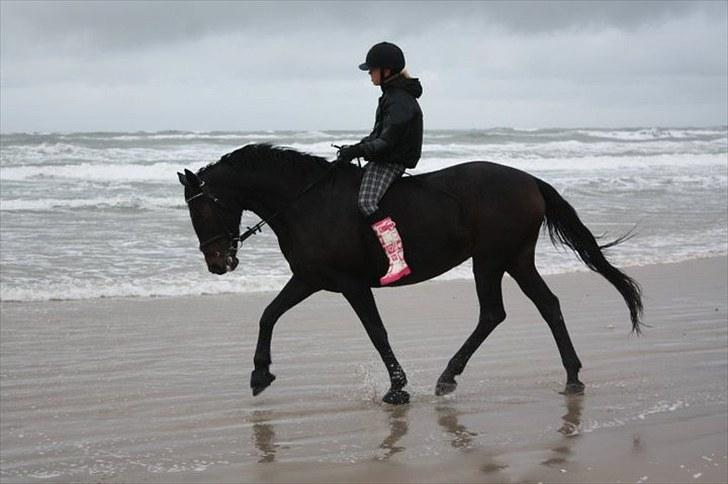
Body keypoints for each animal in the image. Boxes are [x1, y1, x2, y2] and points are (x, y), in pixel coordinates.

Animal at [178, 144, 644, 404]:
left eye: (201, 210)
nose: (218, 264)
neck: (306, 202)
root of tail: (529, 180)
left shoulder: (349, 283)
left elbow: (376, 332)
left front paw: (397, 389)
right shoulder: (311, 278)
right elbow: (269, 315)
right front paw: (260, 374)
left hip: (492, 259)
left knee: (495, 313)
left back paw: (450, 378)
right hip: (513, 259)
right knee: (543, 306)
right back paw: (570, 377)